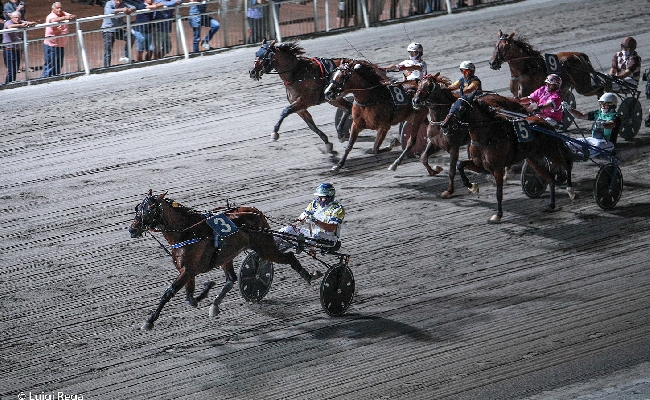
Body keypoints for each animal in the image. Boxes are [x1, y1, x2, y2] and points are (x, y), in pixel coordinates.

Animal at [127, 192, 318, 330]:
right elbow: (189, 297)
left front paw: (149, 321)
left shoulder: (188, 270)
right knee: (231, 279)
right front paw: (205, 291)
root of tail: (255, 211)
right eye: (138, 208)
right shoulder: (188, 271)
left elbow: (169, 293)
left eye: (151, 208)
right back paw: (215, 305)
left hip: (265, 247)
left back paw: (309, 276)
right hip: (227, 255)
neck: (186, 232)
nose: (132, 229)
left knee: (289, 257)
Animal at [440, 94, 572, 225]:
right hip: (533, 159)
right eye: (452, 106)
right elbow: (460, 164)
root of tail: (545, 123)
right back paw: (551, 205)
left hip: (551, 151)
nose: (444, 125)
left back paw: (570, 189)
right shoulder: (479, 165)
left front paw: (498, 215)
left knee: (567, 163)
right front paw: (471, 186)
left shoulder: (497, 169)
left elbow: (499, 193)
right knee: (550, 179)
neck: (488, 136)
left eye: (462, 108)